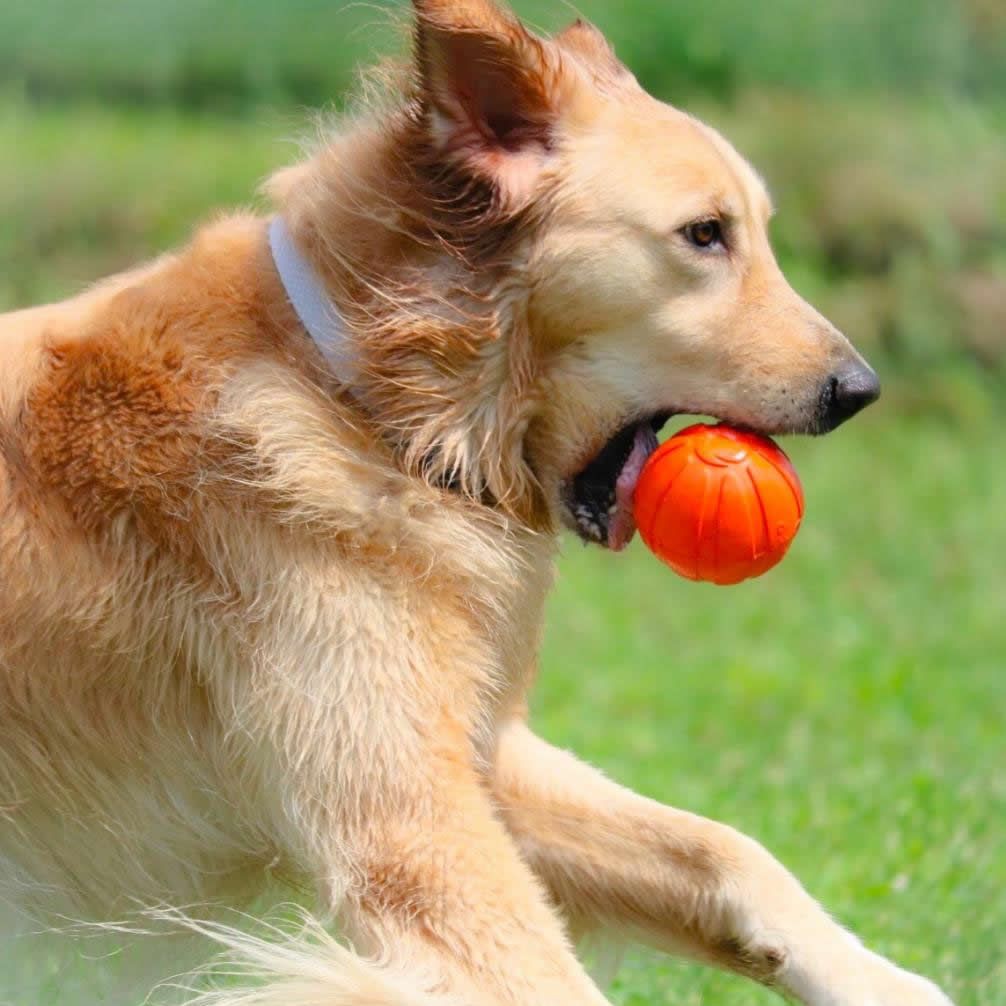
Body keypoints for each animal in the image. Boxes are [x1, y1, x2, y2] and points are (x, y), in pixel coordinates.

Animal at [0, 1, 949, 1006]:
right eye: (703, 234)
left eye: (756, 229)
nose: (860, 389)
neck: (367, 401)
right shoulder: (412, 827)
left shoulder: (473, 753)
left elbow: (725, 850)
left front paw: (879, 981)